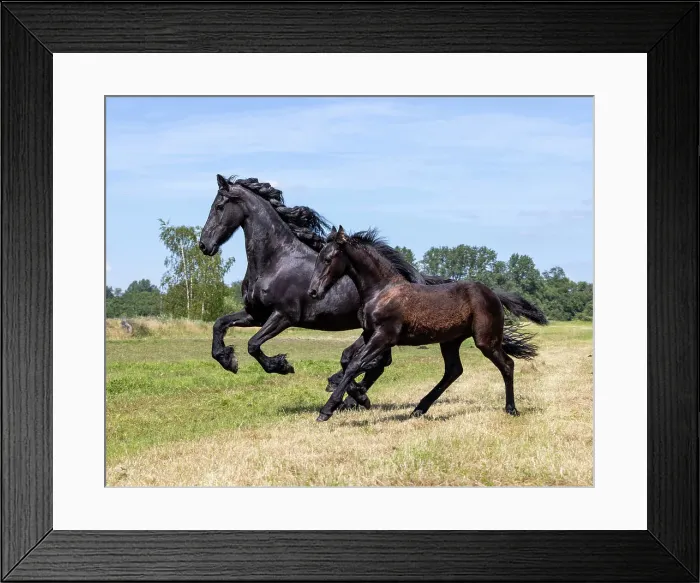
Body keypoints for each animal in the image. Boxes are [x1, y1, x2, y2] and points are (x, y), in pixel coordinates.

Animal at [198, 174, 452, 408]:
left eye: (219, 207)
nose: (204, 245)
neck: (276, 261)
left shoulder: (284, 316)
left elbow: (253, 344)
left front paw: (282, 365)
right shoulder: (256, 315)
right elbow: (219, 324)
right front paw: (227, 360)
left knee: (374, 362)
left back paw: (349, 393)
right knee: (376, 363)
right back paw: (352, 396)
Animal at [307, 225, 549, 422]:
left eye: (328, 259)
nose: (313, 291)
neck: (382, 291)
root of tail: (494, 294)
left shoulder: (384, 336)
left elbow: (356, 364)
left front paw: (328, 410)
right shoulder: (369, 333)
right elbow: (347, 359)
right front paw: (360, 396)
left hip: (485, 340)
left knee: (506, 365)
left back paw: (511, 409)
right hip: (451, 341)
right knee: (454, 370)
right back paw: (419, 409)